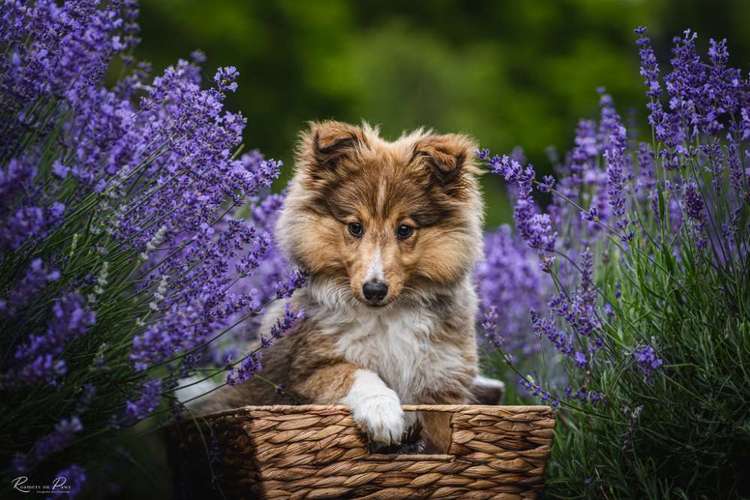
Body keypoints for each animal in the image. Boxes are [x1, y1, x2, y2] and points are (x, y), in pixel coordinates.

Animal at [200, 122, 506, 454]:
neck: (386, 316)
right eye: (355, 227)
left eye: (405, 229)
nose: (374, 290)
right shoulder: (310, 369)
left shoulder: (444, 383)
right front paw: (384, 415)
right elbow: (358, 373)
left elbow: (439, 433)